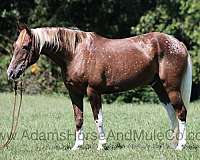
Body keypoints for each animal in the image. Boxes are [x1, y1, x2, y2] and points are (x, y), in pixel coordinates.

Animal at [7, 23, 192, 150]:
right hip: (159, 87)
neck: (75, 53)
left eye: (25, 47)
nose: (11, 73)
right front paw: (77, 146)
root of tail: (178, 44)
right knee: (172, 113)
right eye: (14, 46)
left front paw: (101, 145)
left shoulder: (93, 92)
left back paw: (180, 146)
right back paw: (172, 144)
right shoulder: (74, 93)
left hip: (172, 88)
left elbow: (98, 118)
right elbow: (78, 118)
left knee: (181, 112)